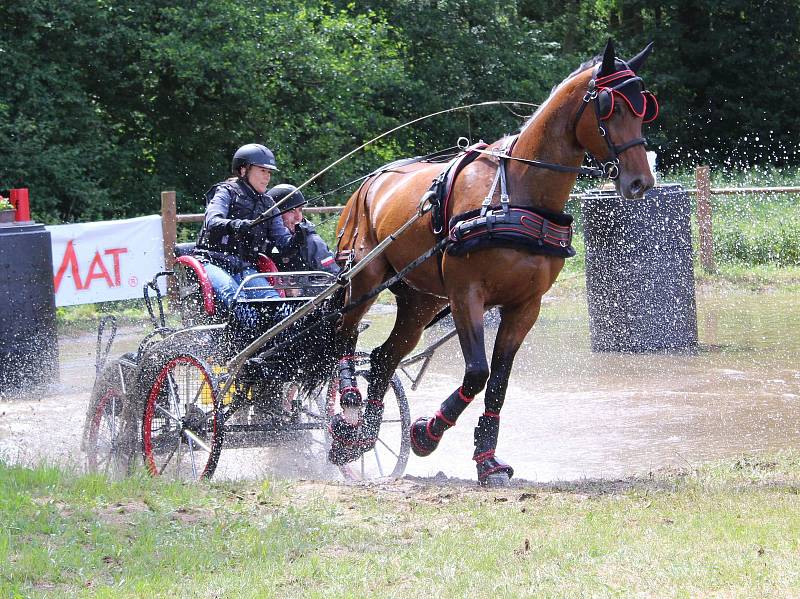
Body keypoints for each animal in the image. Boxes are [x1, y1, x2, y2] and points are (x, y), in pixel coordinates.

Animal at [330, 39, 656, 486]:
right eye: (611, 108)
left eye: (645, 108)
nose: (641, 182)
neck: (518, 193)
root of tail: (371, 182)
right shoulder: (467, 296)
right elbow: (477, 372)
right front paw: (426, 434)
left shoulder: (524, 306)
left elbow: (498, 381)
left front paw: (487, 460)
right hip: (365, 277)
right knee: (344, 337)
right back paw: (347, 411)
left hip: (421, 301)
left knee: (382, 360)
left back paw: (364, 435)